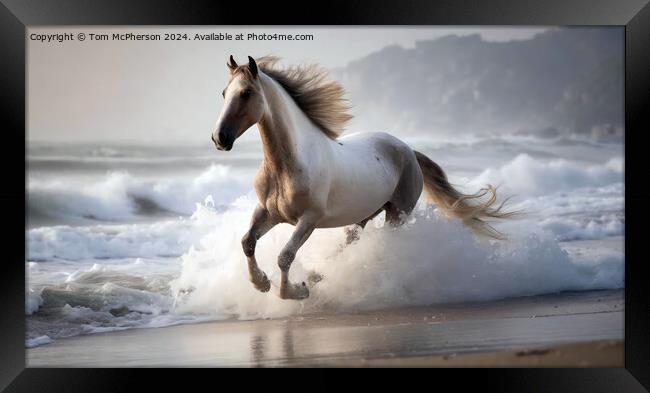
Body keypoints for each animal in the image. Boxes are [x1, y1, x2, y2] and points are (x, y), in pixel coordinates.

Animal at [210, 56, 512, 300]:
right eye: (224, 93)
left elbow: (285, 256)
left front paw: (296, 292)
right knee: (349, 242)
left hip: (398, 214)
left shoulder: (309, 219)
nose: (219, 138)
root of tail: (407, 149)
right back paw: (319, 274)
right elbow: (247, 242)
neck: (289, 163)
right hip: (362, 216)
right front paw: (261, 283)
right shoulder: (268, 212)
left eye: (246, 93)